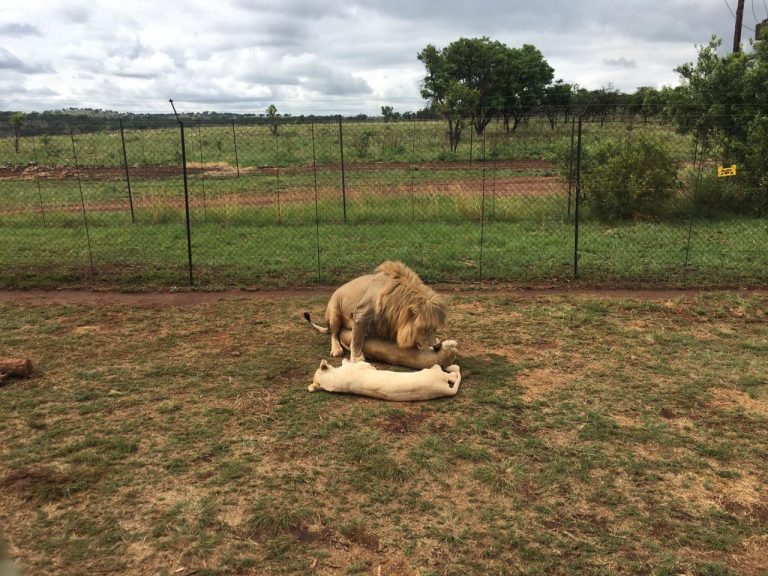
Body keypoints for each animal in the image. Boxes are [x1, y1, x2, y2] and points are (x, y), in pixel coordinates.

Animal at [304, 260, 448, 363]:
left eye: (435, 328)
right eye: (426, 329)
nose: (438, 346)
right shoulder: (361, 313)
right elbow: (357, 338)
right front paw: (357, 358)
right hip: (334, 311)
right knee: (334, 333)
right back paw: (336, 349)